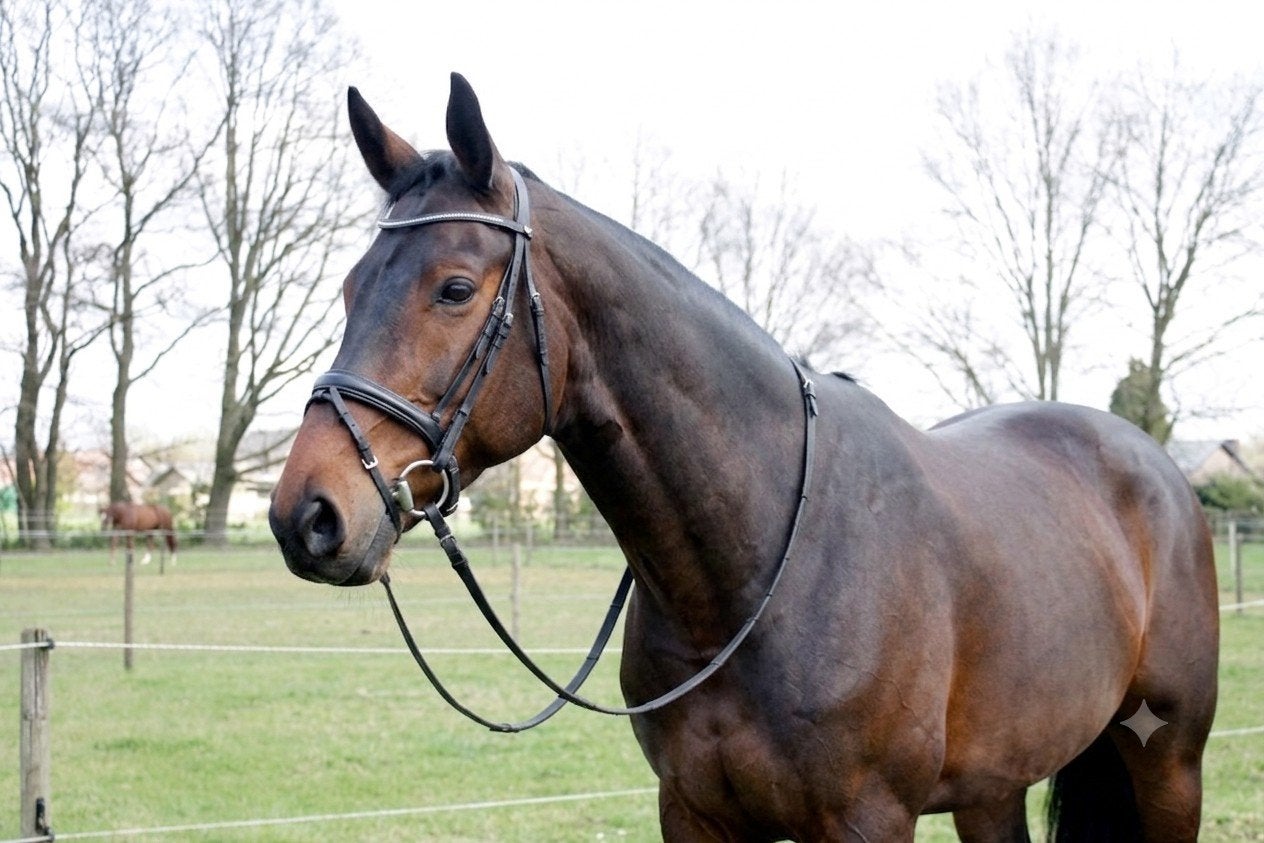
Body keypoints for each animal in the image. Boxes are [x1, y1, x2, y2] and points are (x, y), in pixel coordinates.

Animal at [269, 74, 1218, 841]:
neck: (758, 572)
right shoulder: (695, 812)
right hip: (996, 786)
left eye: (456, 289)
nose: (306, 515)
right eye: (350, 287)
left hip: (1168, 762)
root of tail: (1152, 465)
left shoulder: (869, 817)